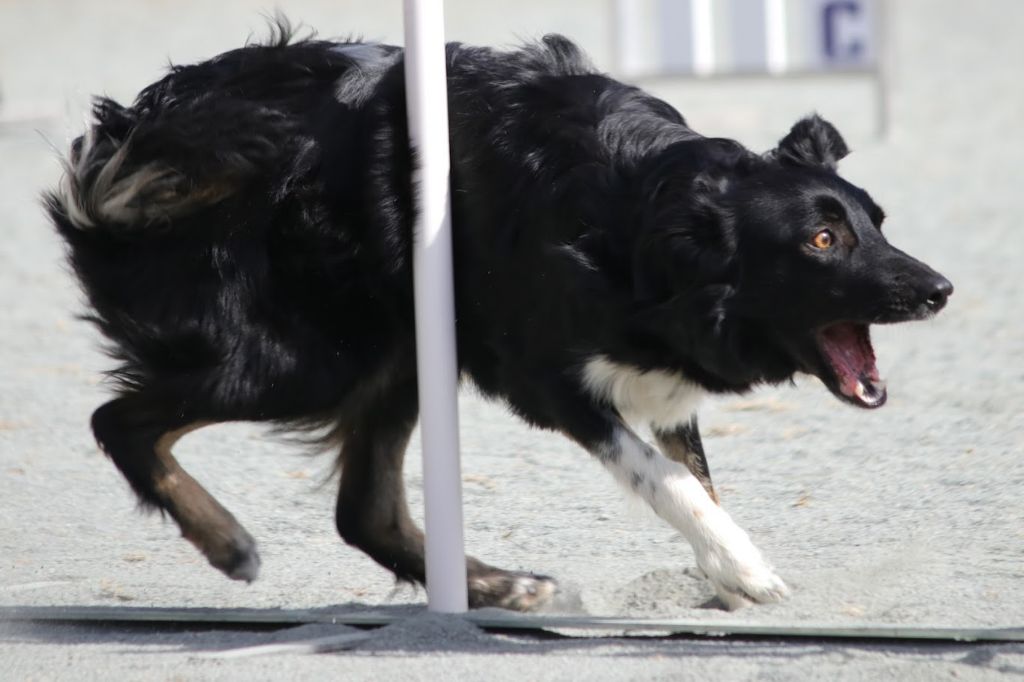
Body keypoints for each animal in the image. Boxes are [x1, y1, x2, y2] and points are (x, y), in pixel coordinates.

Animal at [48, 26, 950, 606]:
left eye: (878, 222)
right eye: (823, 240)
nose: (939, 289)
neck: (636, 220)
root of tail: (142, 133)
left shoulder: (661, 379)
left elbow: (697, 480)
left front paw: (723, 576)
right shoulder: (549, 380)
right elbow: (668, 483)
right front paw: (743, 567)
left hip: (399, 353)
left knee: (363, 512)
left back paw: (501, 585)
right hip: (310, 357)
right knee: (117, 420)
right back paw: (226, 540)